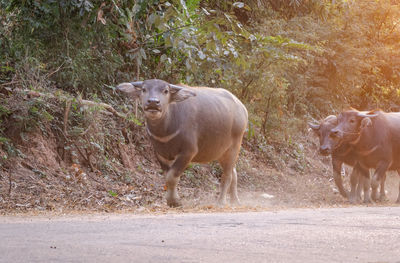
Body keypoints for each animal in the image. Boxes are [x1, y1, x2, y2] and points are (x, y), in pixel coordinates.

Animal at [115, 79, 247, 207]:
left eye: (166, 91)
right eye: (143, 89)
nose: (153, 102)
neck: (166, 129)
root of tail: (243, 109)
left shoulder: (188, 152)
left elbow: (172, 177)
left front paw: (174, 201)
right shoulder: (160, 153)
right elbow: (167, 176)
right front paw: (172, 200)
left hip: (235, 146)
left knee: (227, 175)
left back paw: (221, 202)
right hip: (222, 153)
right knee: (233, 173)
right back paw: (235, 201)